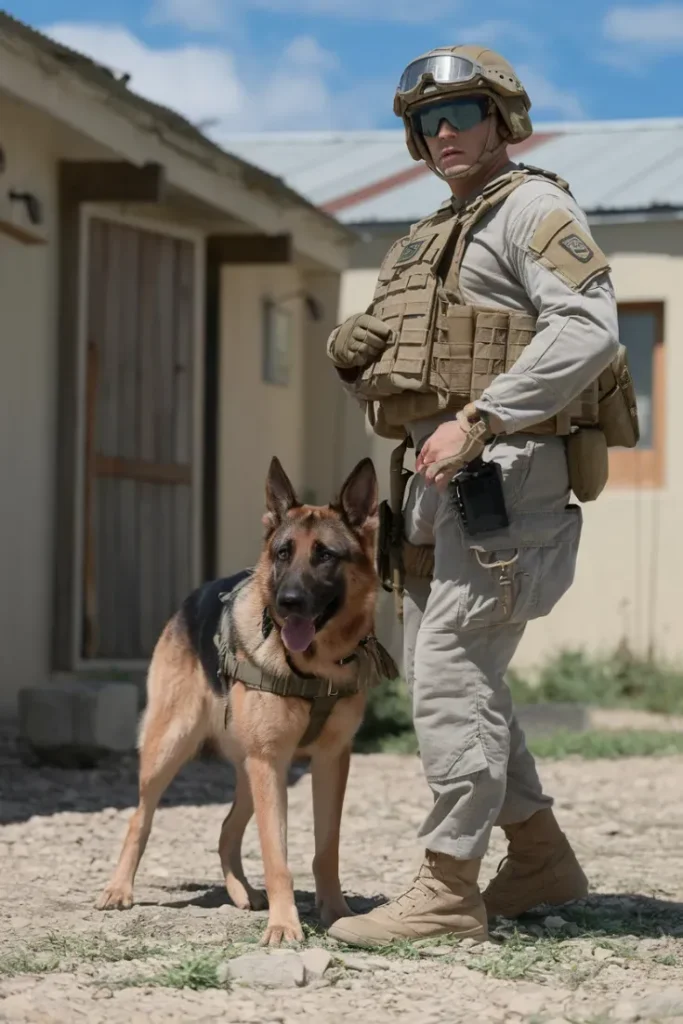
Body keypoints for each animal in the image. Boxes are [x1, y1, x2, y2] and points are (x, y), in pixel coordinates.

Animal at [95, 454, 395, 942]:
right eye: (283, 553)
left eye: (325, 555)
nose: (288, 602)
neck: (312, 666)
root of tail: (194, 595)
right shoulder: (270, 762)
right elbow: (277, 855)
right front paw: (285, 924)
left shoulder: (329, 762)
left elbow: (325, 850)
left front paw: (334, 911)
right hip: (172, 749)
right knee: (141, 817)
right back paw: (119, 889)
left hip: (253, 774)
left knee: (226, 829)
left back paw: (239, 892)